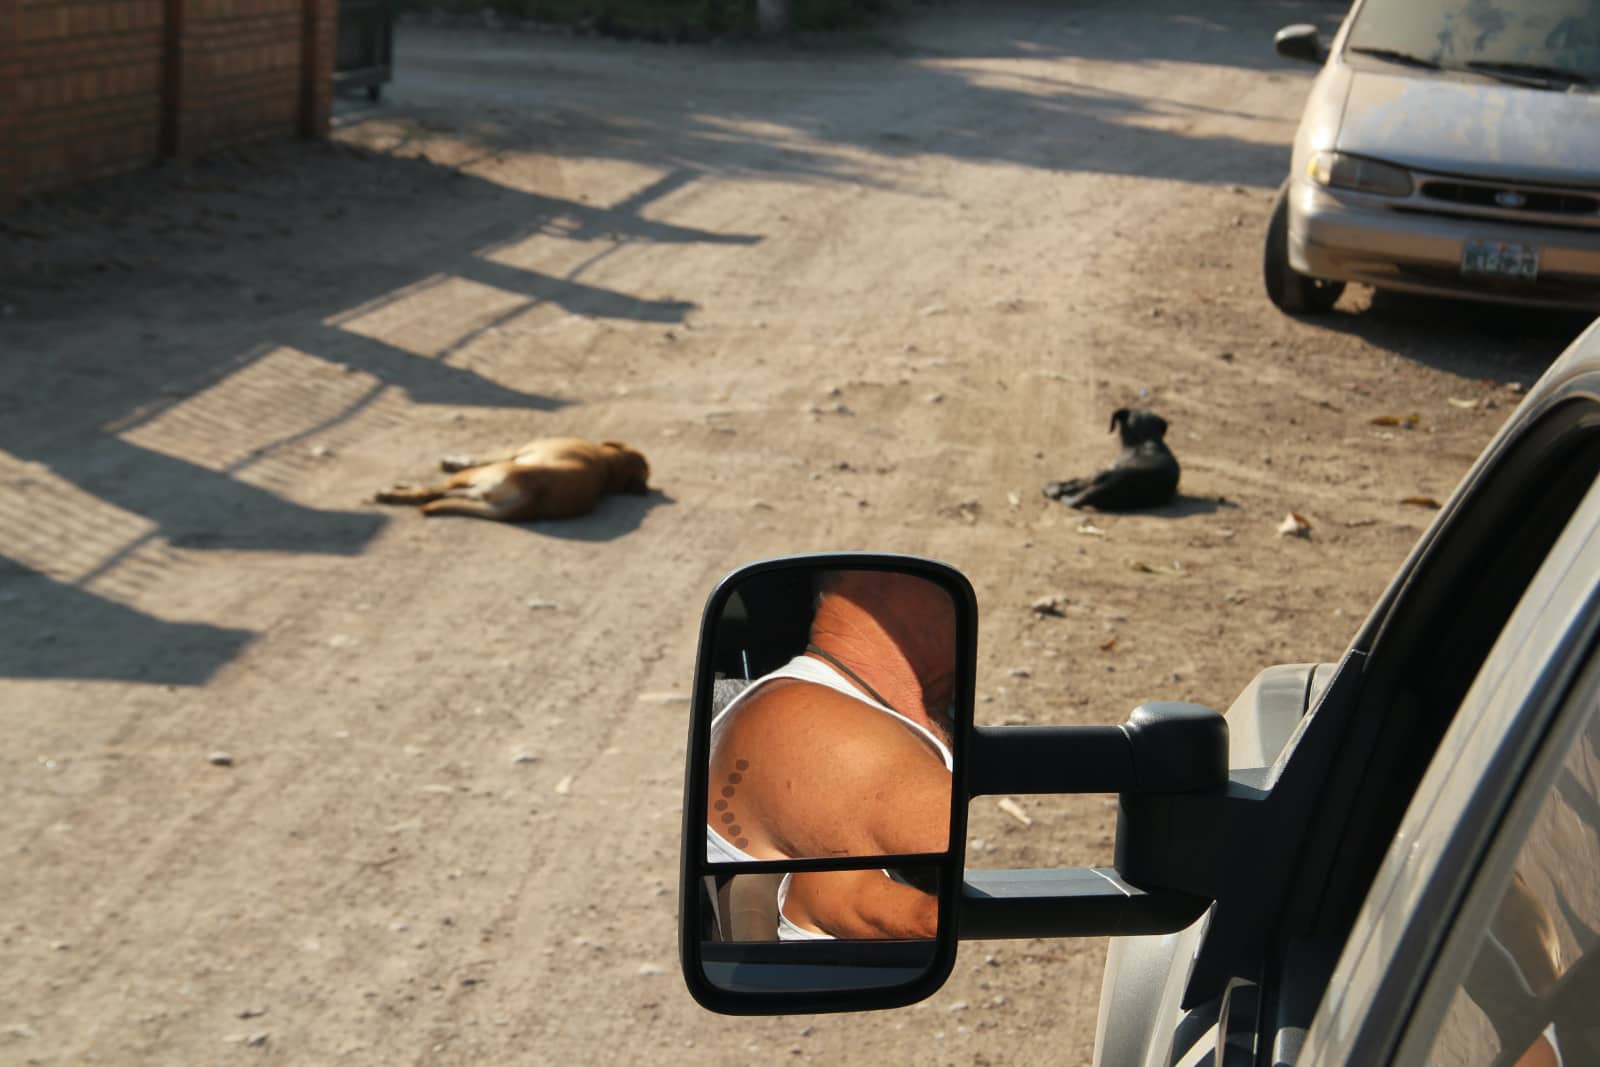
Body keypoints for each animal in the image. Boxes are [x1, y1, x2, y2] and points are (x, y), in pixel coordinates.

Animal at [374, 431, 649, 518]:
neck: (609, 466)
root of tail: (532, 499)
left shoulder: (516, 450)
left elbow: (481, 455)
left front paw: (454, 460)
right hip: (477, 491)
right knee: (443, 494)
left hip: (481, 474)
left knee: (430, 492)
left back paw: (393, 492)